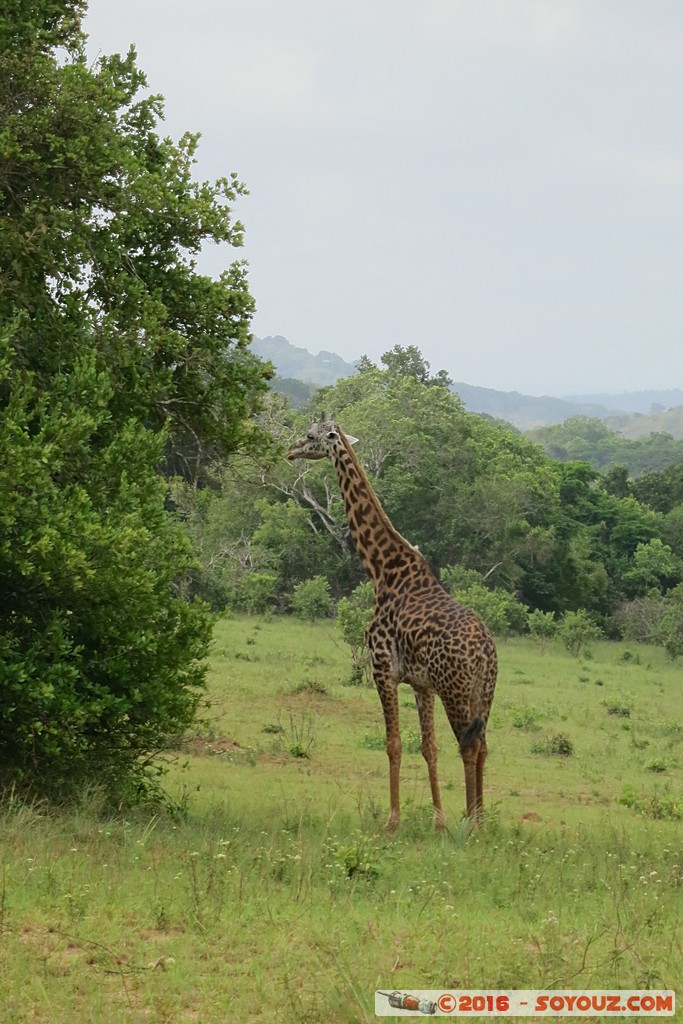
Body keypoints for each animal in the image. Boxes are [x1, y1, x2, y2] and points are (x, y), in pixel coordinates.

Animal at [286, 411, 499, 827]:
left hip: (456, 689)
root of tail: (486, 651)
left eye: (310, 435)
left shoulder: (382, 667)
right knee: (482, 745)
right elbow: (428, 747)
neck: (382, 572)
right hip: (484, 692)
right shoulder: (421, 683)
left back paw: (472, 825)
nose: (290, 451)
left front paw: (393, 821)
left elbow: (394, 744)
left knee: (468, 746)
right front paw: (438, 821)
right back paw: (479, 821)